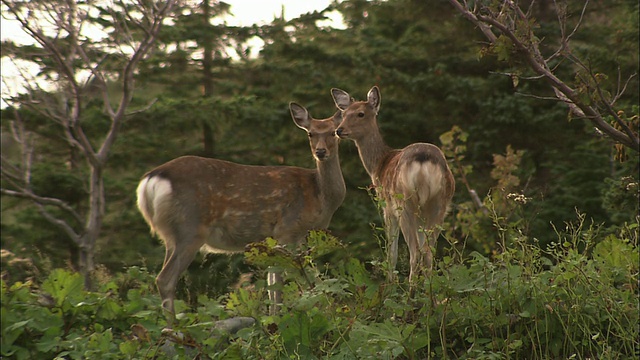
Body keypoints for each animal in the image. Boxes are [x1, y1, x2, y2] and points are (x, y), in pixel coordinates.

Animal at [136, 102, 344, 324]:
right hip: (190, 228)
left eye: (333, 132)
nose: (320, 151)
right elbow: (280, 281)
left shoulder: (270, 240)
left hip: (170, 235)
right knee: (165, 279)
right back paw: (173, 326)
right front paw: (279, 318)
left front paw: (271, 318)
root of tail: (151, 180)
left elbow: (271, 282)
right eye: (310, 133)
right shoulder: (287, 230)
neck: (320, 197)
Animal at [330, 86, 456, 284]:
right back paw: (428, 290)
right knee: (427, 252)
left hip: (404, 203)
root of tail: (423, 162)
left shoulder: (386, 207)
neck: (379, 164)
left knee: (415, 252)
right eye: (343, 113)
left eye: (360, 113)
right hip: (438, 204)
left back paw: (411, 290)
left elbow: (392, 253)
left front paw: (390, 283)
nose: (339, 130)